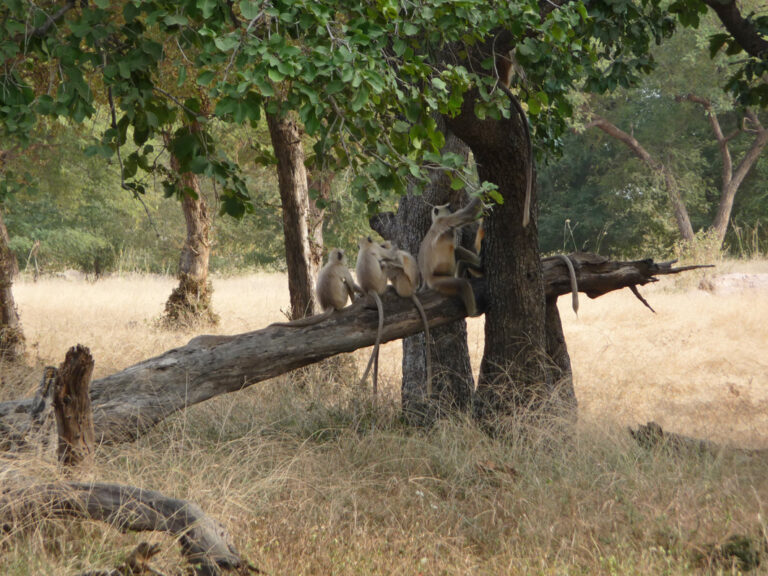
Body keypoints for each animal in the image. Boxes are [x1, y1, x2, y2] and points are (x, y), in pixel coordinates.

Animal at [378, 242, 434, 397]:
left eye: (383, 246)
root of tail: (411, 291)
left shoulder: (396, 257)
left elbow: (398, 266)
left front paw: (384, 262)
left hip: (403, 284)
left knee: (398, 272)